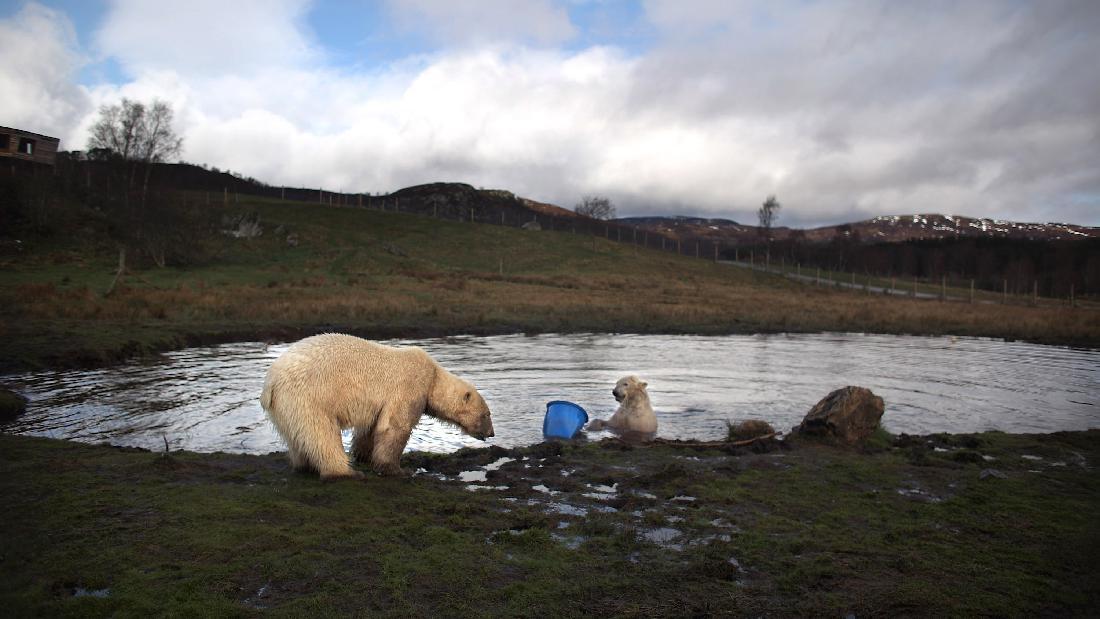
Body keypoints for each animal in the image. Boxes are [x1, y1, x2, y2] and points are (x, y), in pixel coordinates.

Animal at [259, 334, 492, 479]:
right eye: (486, 414)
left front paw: (363, 456)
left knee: (297, 436)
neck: (433, 376)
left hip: (284, 406)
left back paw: (304, 465)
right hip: (308, 397)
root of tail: (270, 382)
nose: (491, 433)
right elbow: (394, 426)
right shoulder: (410, 386)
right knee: (321, 433)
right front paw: (397, 470)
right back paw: (345, 473)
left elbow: (371, 428)